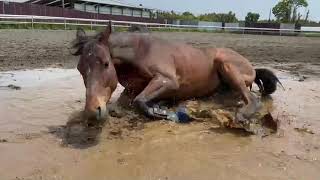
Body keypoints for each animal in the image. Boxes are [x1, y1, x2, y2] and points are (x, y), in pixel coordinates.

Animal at [72, 21, 282, 121]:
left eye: (106, 64)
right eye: (80, 69)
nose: (92, 112)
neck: (140, 51)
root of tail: (251, 67)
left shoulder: (168, 80)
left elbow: (140, 101)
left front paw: (158, 111)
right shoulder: (131, 88)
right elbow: (120, 105)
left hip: (226, 63)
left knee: (252, 99)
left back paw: (242, 116)